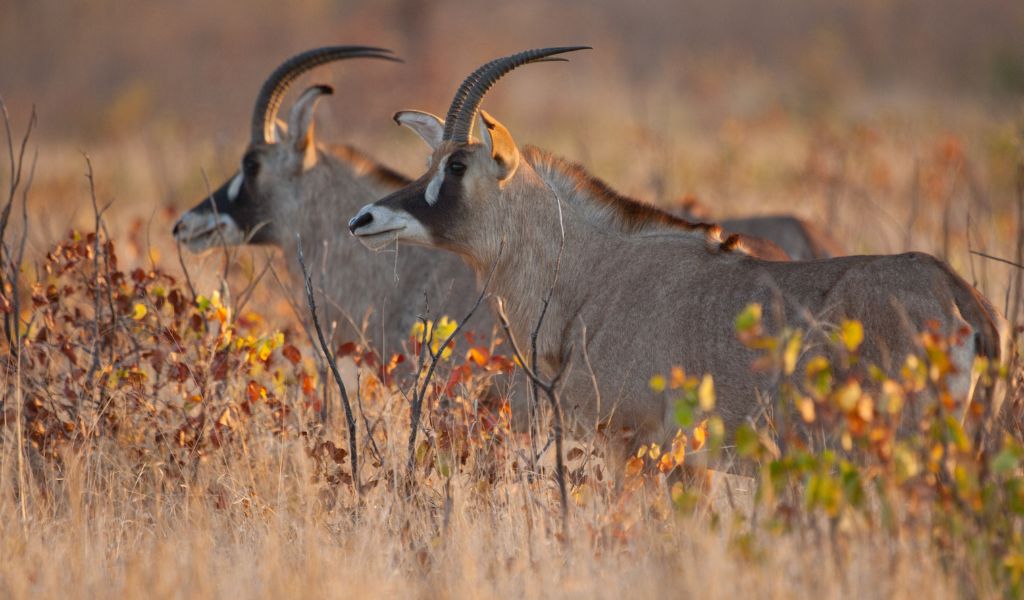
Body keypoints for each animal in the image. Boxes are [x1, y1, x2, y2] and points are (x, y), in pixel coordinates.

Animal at [349, 47, 1004, 458]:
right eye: (431, 160)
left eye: (458, 166)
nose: (364, 219)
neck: (592, 273)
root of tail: (955, 294)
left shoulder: (633, 440)